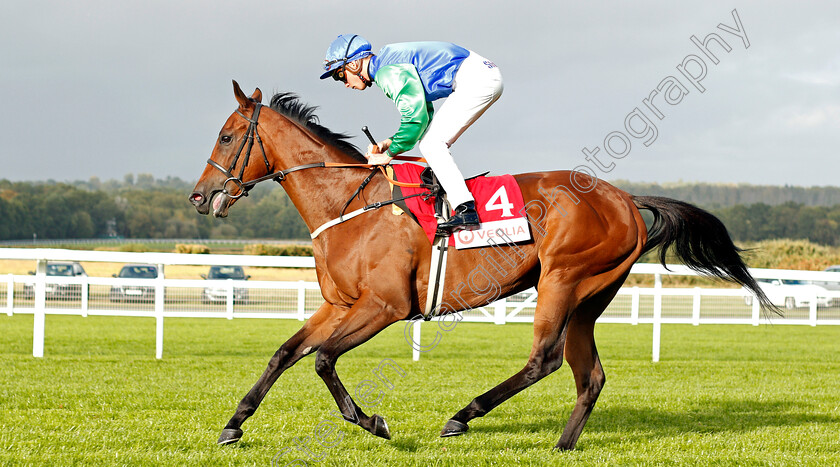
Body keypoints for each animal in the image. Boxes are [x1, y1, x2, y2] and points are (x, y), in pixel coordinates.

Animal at [189, 82, 776, 452]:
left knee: (545, 359)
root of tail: (627, 200)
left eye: (226, 136)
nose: (200, 196)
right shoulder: (340, 304)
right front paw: (233, 426)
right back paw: (562, 445)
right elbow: (285, 353)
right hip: (591, 296)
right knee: (589, 374)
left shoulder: (384, 306)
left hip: (562, 280)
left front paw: (373, 422)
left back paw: (463, 416)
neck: (349, 206)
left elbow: (323, 361)